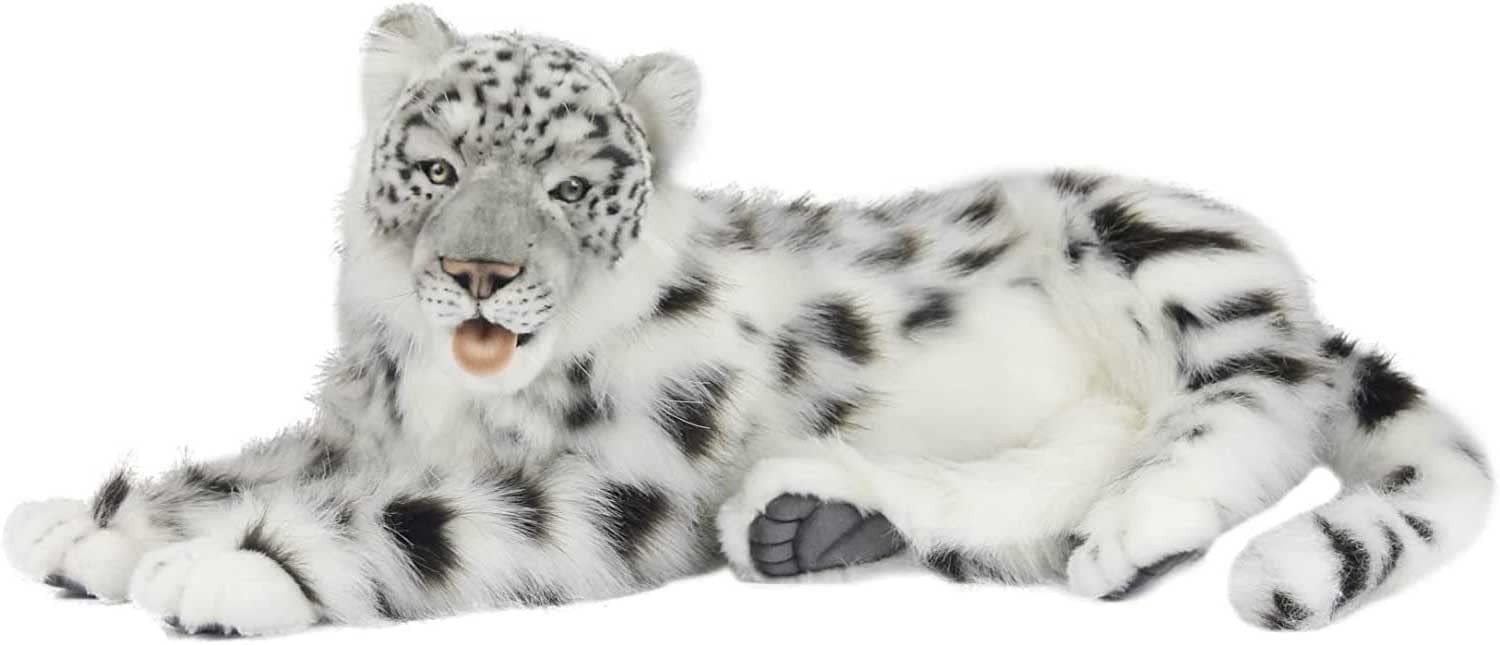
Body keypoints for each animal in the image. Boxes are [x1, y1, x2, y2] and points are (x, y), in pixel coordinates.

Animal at [4, 5, 1490, 636]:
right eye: (435, 164)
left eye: (567, 184)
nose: (479, 273)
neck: (447, 396)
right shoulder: (359, 428)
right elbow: (248, 467)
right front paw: (89, 526)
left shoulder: (619, 482)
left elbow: (416, 524)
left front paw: (218, 570)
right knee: (1047, 485)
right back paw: (817, 518)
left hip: (1162, 244)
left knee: (1249, 397)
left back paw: (1154, 521)